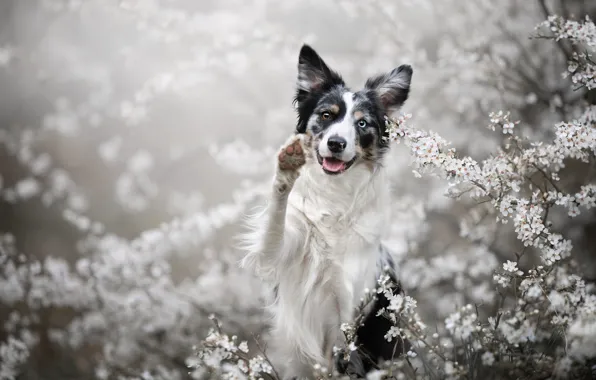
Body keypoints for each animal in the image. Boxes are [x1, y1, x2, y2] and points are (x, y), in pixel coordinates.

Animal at [240, 45, 412, 380]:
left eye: (362, 123)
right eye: (326, 115)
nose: (336, 143)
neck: (335, 195)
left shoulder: (346, 308)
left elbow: (341, 356)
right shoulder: (277, 254)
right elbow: (275, 222)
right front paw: (287, 168)